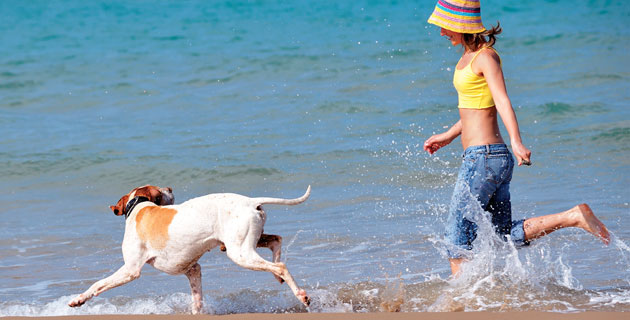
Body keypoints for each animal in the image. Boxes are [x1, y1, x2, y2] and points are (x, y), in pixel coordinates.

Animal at [68, 185, 312, 312]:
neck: (140, 207)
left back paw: (301, 295)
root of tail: (250, 201)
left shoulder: (130, 270)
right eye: (161, 190)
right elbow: (197, 301)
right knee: (276, 241)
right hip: (246, 243)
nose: (170, 187)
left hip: (240, 253)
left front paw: (79, 299)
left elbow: (98, 284)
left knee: (281, 266)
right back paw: (279, 277)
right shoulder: (193, 270)